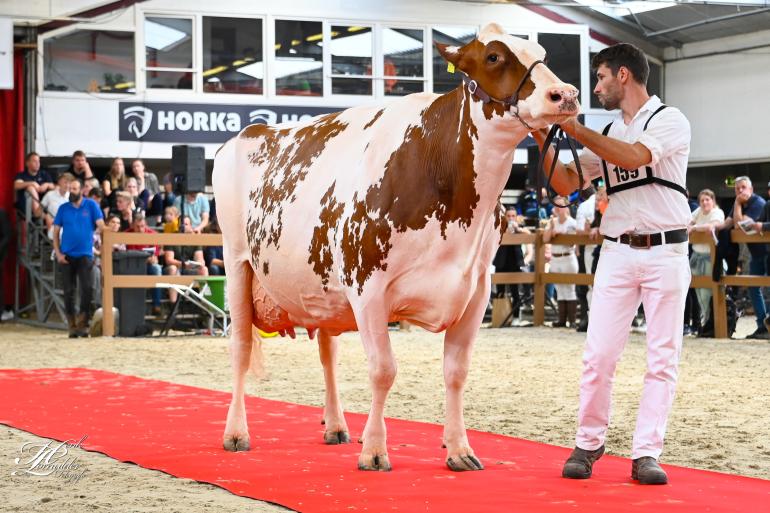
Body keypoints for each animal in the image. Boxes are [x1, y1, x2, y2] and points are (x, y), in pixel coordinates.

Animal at [210, 25, 576, 472]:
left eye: (542, 52)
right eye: (493, 56)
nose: (566, 94)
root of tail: (252, 132)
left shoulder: (475, 291)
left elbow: (456, 372)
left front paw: (459, 449)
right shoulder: (367, 286)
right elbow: (383, 370)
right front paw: (374, 451)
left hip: (320, 286)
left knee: (328, 352)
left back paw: (335, 425)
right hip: (236, 262)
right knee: (241, 349)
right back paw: (236, 433)